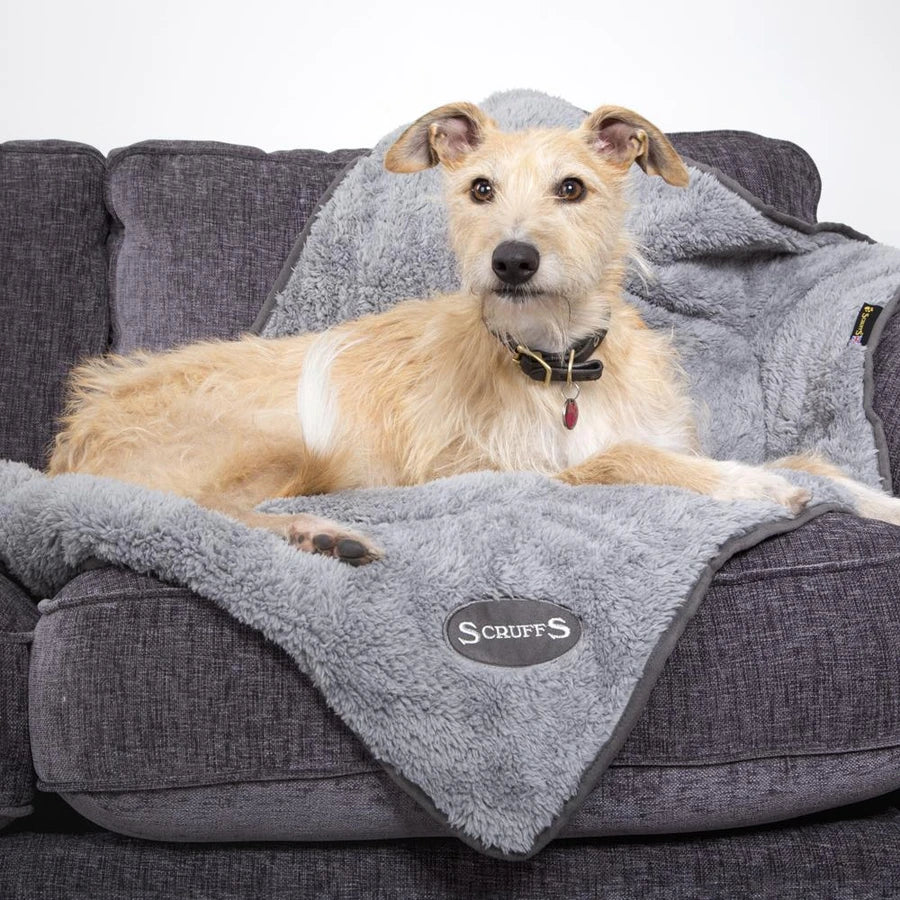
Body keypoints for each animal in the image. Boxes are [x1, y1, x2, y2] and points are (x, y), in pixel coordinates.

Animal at [47, 100, 900, 564]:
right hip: (282, 440)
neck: (559, 361)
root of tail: (73, 438)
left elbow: (810, 457)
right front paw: (756, 488)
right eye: (480, 189)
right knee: (195, 515)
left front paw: (875, 504)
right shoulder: (523, 471)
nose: (512, 261)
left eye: (573, 188)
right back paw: (320, 535)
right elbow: (624, 458)